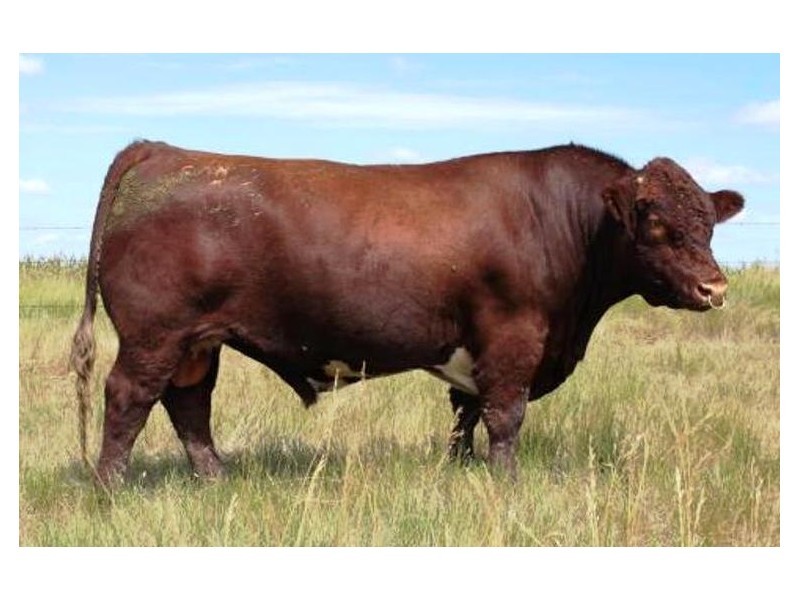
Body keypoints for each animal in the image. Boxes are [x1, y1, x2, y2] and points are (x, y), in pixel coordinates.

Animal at [70, 140, 744, 486]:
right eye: (656, 225)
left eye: (708, 224)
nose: (714, 287)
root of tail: (163, 151)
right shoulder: (514, 336)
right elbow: (505, 417)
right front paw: (505, 483)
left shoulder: (477, 349)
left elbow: (465, 413)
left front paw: (461, 471)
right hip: (155, 334)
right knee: (129, 397)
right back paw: (111, 488)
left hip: (196, 341)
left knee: (188, 404)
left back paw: (215, 480)